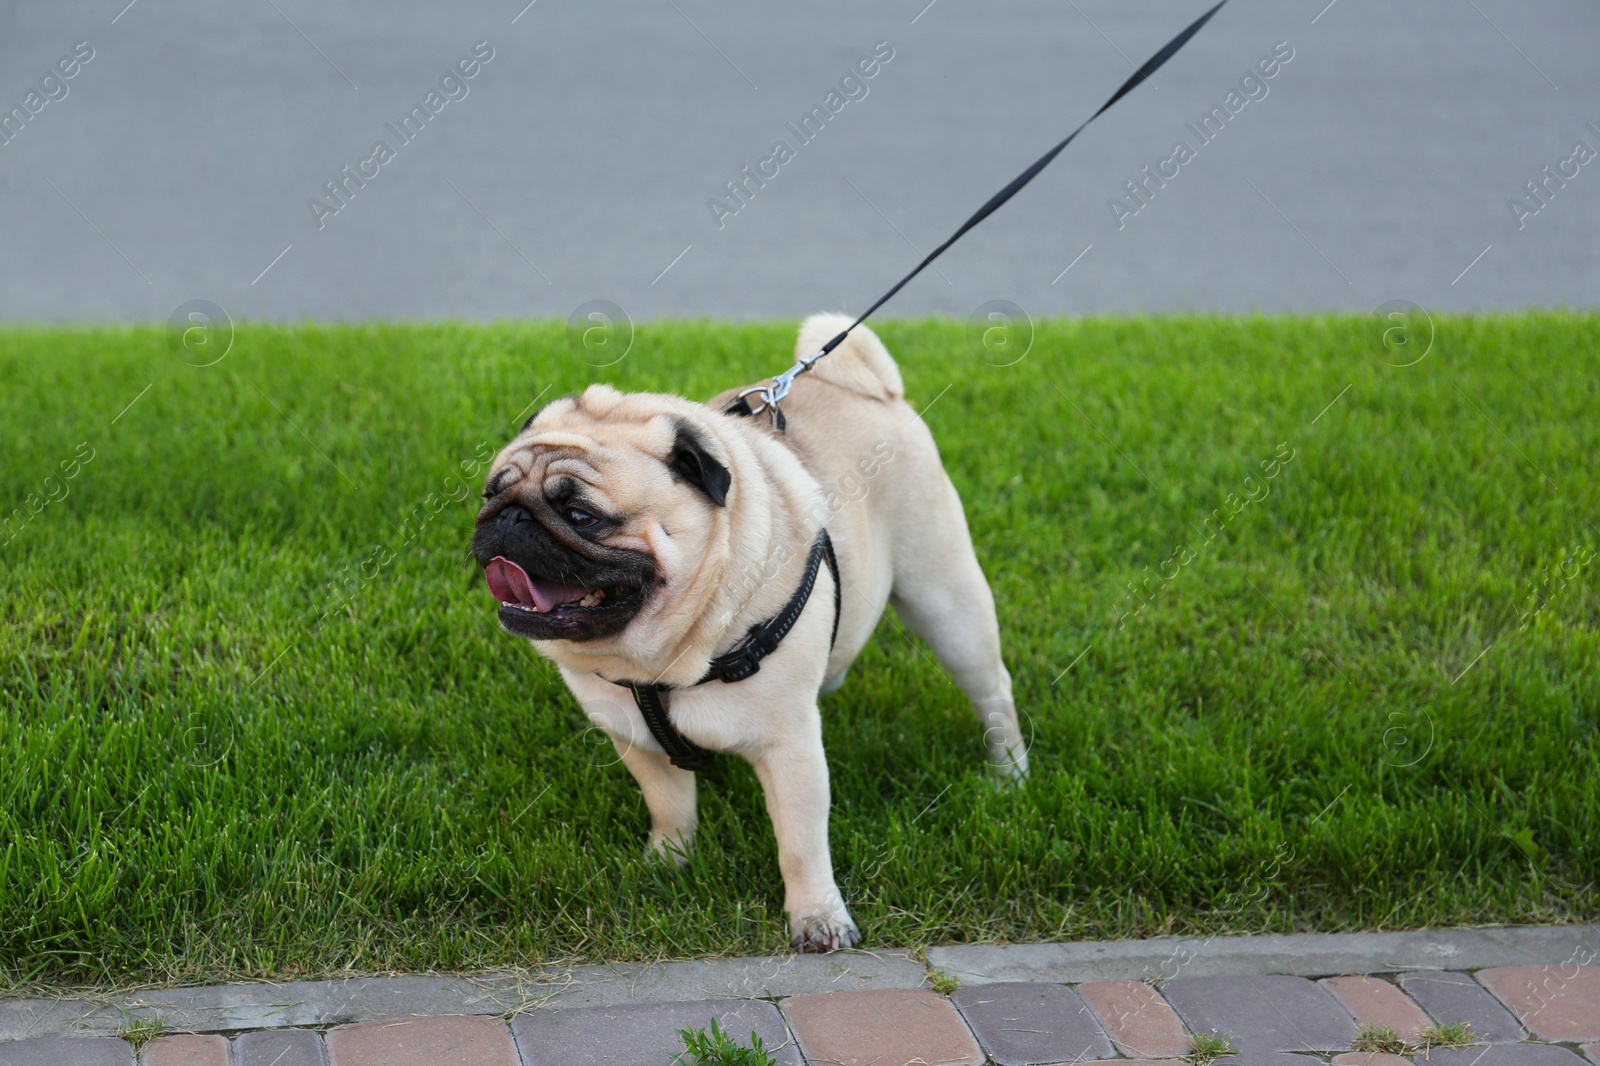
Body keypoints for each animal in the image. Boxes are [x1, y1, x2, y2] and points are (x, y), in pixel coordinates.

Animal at [467, 312, 1030, 947]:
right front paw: (668, 863)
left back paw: (1009, 774)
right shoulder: (636, 739)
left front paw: (818, 919)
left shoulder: (790, 749)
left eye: (581, 516)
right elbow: (669, 806)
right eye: (490, 493)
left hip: (947, 601)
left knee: (993, 690)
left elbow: (801, 844)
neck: (664, 657)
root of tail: (869, 388)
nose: (509, 518)